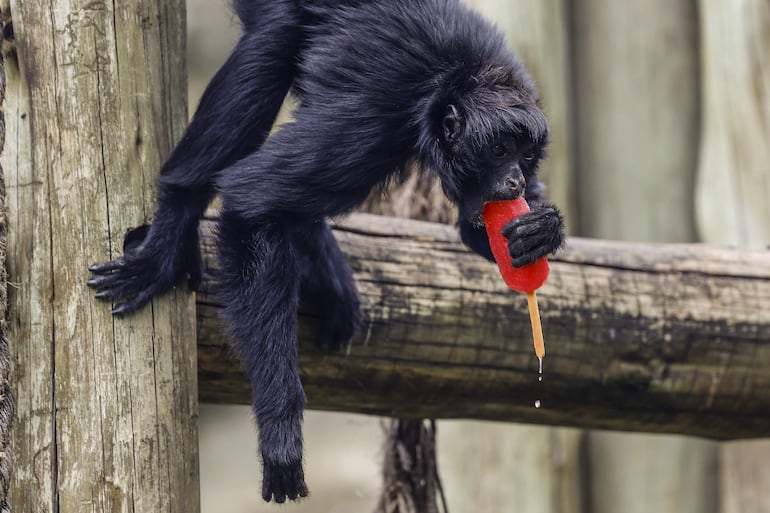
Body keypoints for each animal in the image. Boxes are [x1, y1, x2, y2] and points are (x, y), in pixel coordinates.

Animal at [88, 0, 565, 503]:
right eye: (500, 148)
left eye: (525, 154)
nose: (515, 180)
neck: (456, 77)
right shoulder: (372, 123)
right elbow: (250, 201)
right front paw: (280, 432)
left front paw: (541, 232)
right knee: (273, 40)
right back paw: (171, 231)